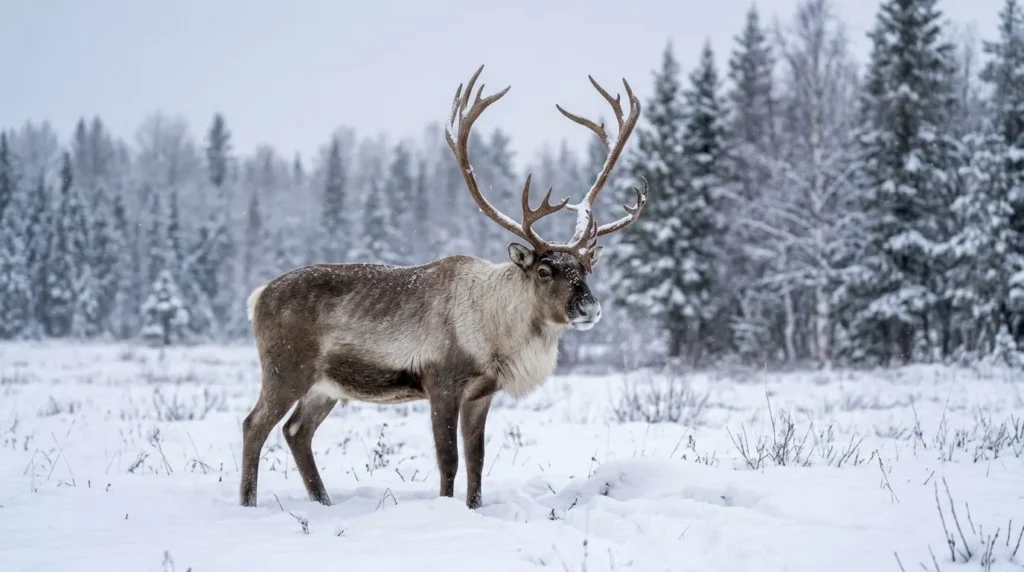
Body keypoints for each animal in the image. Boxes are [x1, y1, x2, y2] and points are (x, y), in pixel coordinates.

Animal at [239, 65, 647, 510]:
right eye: (544, 270)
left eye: (586, 267)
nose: (590, 308)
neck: (496, 334)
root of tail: (257, 296)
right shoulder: (442, 384)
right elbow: (448, 459)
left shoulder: (482, 393)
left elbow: (476, 460)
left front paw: (473, 508)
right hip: (285, 370)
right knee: (254, 425)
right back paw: (248, 503)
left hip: (324, 386)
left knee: (296, 431)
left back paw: (322, 502)